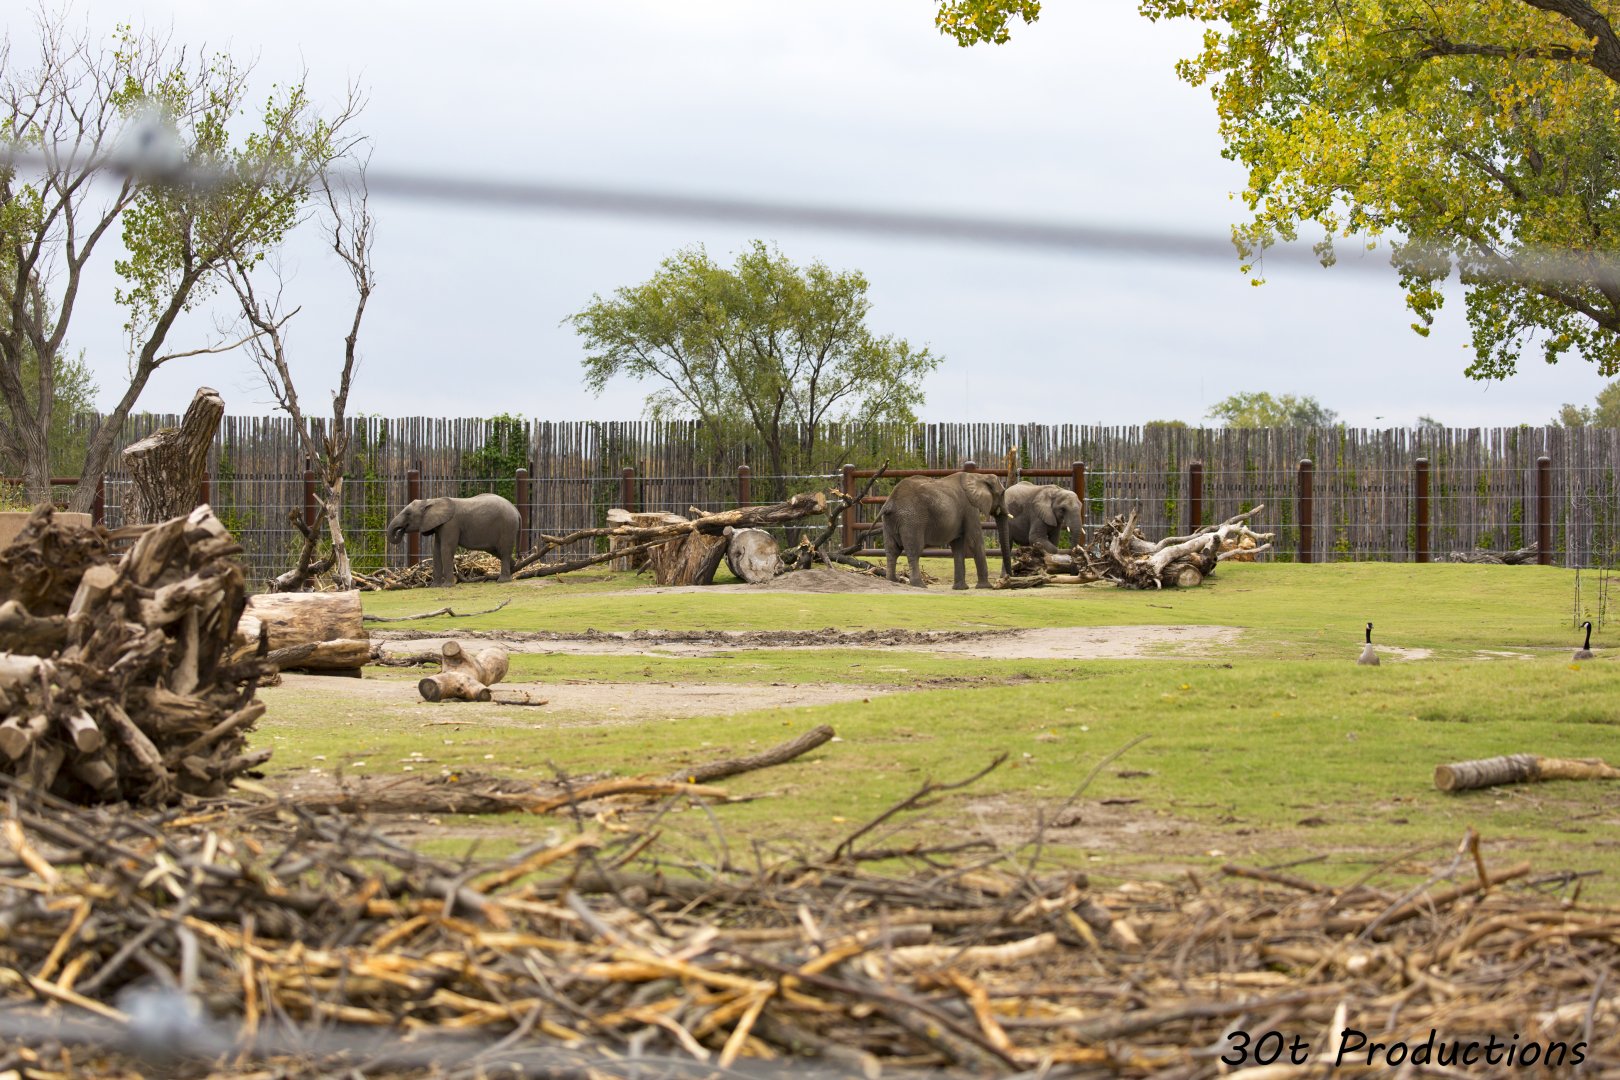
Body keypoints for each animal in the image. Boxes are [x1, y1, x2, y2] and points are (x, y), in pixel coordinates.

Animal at [386, 493, 520, 586]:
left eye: (408, 514)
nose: (401, 530)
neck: (432, 501)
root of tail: (516, 511)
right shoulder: (439, 525)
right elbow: (436, 551)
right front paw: (434, 586)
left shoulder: (451, 524)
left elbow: (446, 549)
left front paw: (447, 586)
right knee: (498, 551)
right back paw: (513, 568)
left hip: (507, 526)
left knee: (504, 550)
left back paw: (502, 581)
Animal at [880, 471, 1012, 590]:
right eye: (1002, 493)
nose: (1008, 577)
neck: (978, 476)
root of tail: (890, 502)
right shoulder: (970, 508)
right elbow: (975, 541)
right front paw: (985, 587)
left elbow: (958, 545)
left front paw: (960, 588)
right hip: (912, 520)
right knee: (914, 551)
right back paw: (919, 585)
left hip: (889, 521)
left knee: (892, 551)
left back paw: (892, 580)